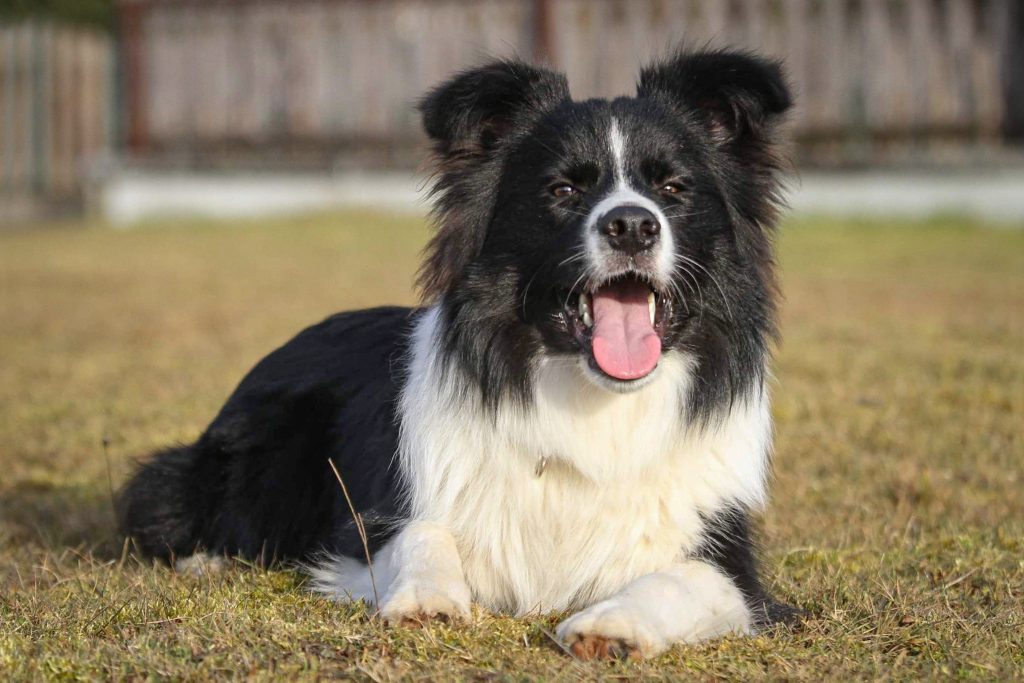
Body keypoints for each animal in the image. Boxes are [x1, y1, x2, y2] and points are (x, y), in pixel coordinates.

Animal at [117, 45, 790, 659]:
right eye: (563, 189)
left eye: (673, 188)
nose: (631, 225)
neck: (593, 400)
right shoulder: (376, 522)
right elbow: (421, 535)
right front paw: (427, 598)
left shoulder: (732, 565)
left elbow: (683, 580)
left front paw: (614, 624)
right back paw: (208, 560)